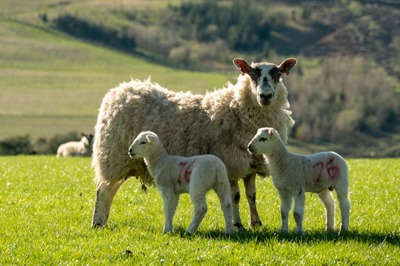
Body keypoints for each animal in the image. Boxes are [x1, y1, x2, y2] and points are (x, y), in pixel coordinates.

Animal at [92, 57, 296, 229]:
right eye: (252, 75)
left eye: (278, 75)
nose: (265, 95)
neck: (236, 109)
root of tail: (119, 91)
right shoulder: (230, 162)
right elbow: (235, 196)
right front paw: (237, 224)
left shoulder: (251, 163)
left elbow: (251, 195)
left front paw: (256, 223)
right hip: (113, 156)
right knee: (103, 190)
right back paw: (97, 223)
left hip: (126, 161)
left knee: (111, 189)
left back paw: (104, 220)